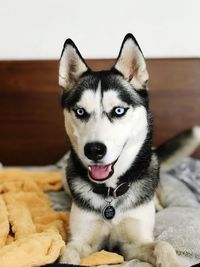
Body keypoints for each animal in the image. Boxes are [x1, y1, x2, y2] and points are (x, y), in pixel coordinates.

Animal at [57, 34, 198, 266]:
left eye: (118, 111)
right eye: (80, 111)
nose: (94, 150)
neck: (110, 195)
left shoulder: (133, 243)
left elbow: (163, 244)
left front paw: (171, 261)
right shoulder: (83, 240)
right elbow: (68, 252)